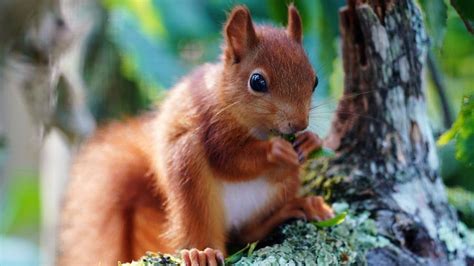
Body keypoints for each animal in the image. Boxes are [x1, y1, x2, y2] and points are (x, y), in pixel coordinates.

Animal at [58, 4, 334, 266]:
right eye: (257, 81)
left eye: (315, 80)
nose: (299, 124)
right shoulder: (210, 125)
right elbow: (231, 160)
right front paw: (275, 150)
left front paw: (311, 141)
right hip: (189, 178)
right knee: (203, 230)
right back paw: (202, 253)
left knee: (248, 233)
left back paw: (295, 208)